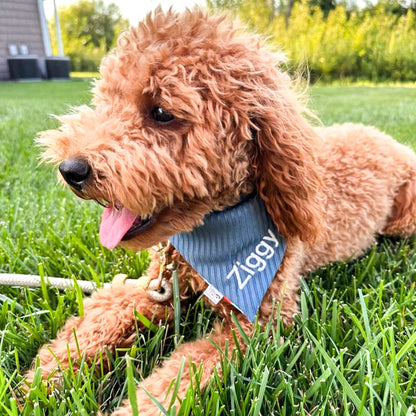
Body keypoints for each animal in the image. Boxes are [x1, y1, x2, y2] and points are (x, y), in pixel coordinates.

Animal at [30, 7, 416, 416]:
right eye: (107, 100)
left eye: (161, 112)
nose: (71, 169)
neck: (211, 232)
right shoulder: (155, 287)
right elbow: (105, 314)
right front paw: (49, 373)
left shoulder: (258, 323)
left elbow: (184, 369)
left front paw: (141, 406)